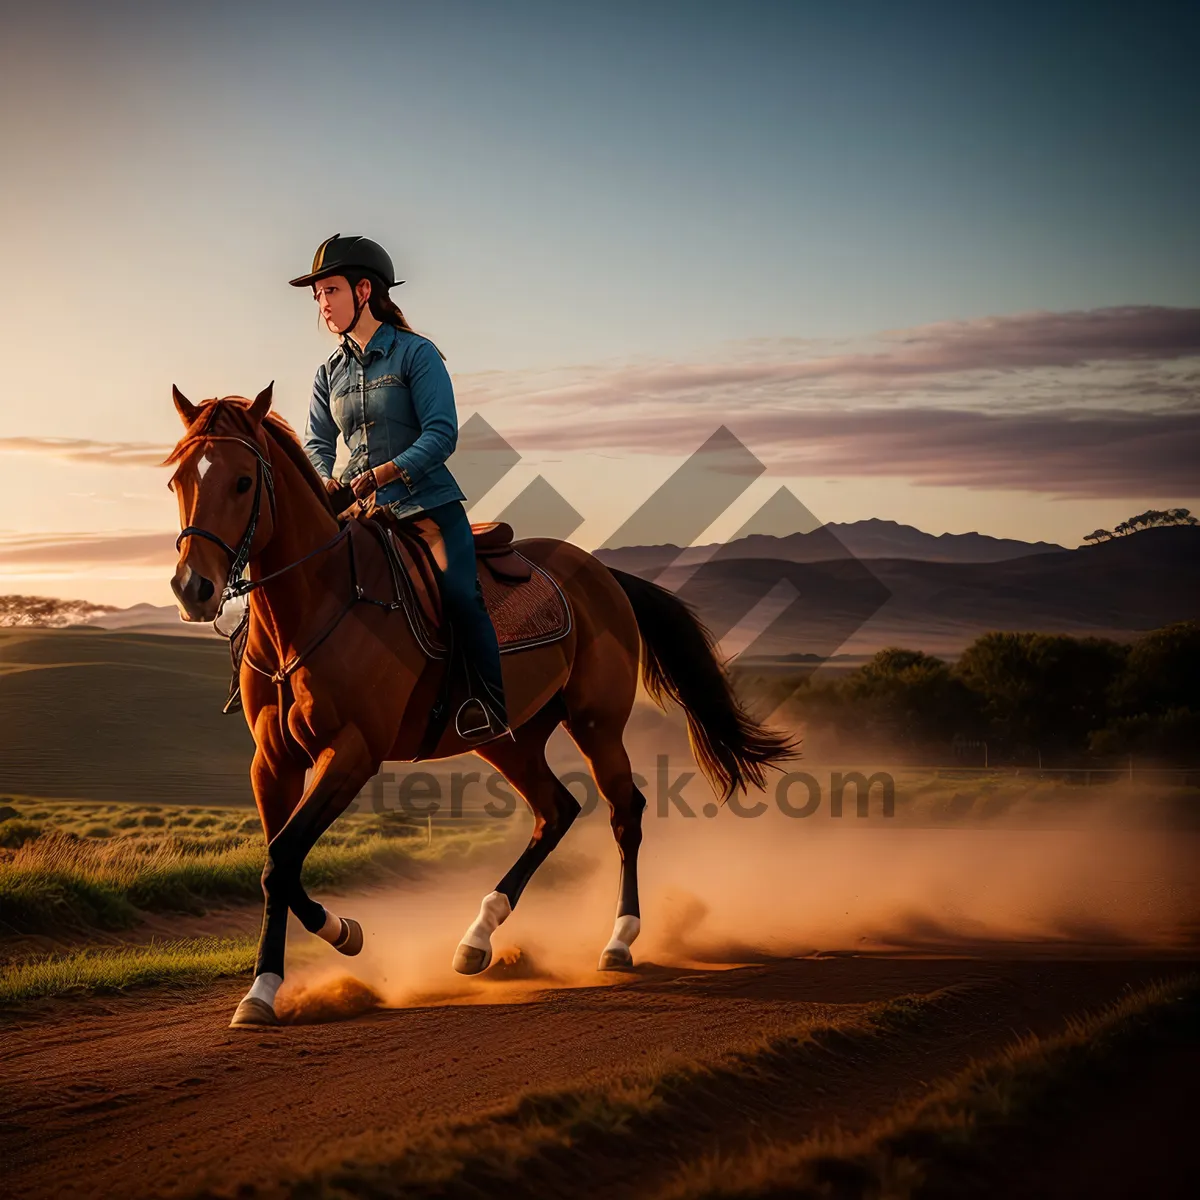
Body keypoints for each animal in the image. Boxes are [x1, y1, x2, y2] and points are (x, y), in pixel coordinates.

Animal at [162, 386, 796, 1032]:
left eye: (243, 482)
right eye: (178, 480)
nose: (193, 588)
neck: (317, 606)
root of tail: (604, 575)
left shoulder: (353, 752)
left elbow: (282, 859)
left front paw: (335, 939)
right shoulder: (273, 763)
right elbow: (277, 867)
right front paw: (279, 977)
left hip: (595, 725)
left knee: (626, 812)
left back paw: (618, 941)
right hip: (506, 738)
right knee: (556, 811)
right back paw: (477, 938)